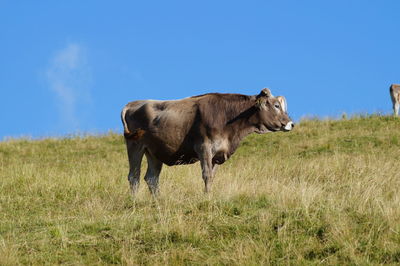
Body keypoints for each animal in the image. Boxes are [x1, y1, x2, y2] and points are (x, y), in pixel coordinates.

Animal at [122, 88, 294, 194]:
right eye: (276, 105)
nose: (291, 123)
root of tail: (132, 103)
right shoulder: (204, 147)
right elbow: (206, 175)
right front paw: (207, 197)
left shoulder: (217, 154)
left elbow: (212, 175)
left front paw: (208, 195)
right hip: (135, 145)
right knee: (134, 176)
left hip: (154, 152)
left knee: (151, 178)